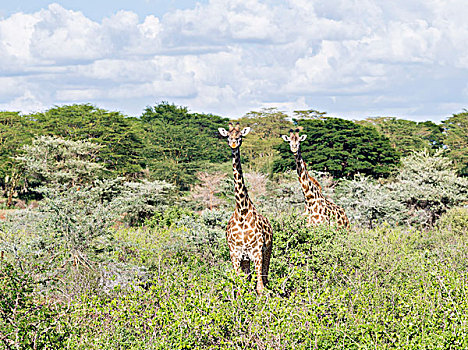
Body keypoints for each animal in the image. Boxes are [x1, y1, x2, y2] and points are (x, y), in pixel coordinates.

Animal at [219, 121, 274, 294]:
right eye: (228, 136)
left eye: (240, 136)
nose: (233, 144)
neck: (242, 211)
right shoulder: (235, 253)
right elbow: (239, 286)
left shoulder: (257, 251)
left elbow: (260, 288)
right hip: (245, 260)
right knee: (249, 279)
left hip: (267, 252)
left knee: (265, 278)